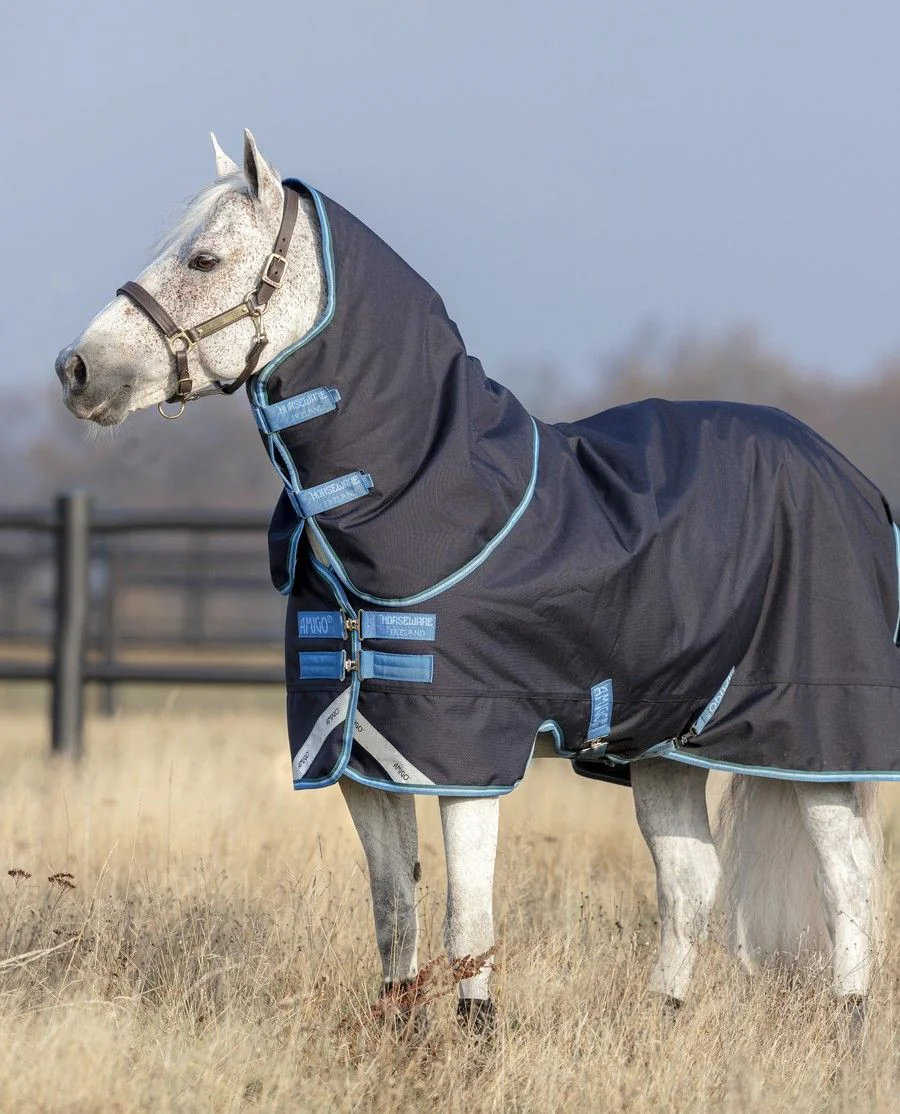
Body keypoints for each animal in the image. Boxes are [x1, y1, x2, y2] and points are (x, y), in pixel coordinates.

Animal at [55, 130, 891, 1030]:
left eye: (204, 259)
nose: (76, 369)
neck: (431, 501)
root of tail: (850, 477)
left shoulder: (466, 755)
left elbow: (469, 917)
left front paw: (474, 1034)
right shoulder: (361, 757)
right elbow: (394, 907)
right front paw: (399, 1029)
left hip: (816, 741)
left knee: (849, 877)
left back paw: (848, 1021)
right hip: (667, 744)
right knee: (689, 881)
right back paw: (663, 1015)